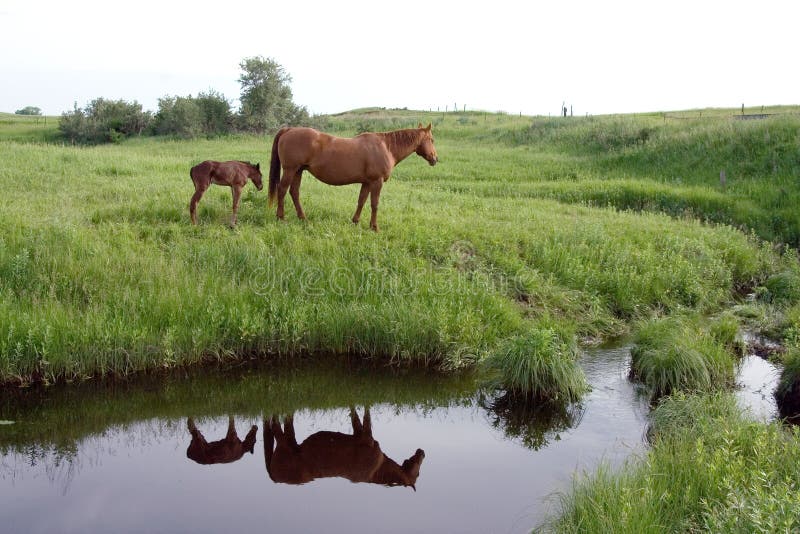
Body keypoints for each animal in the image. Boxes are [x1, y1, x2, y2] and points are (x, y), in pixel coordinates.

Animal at [264, 407, 425, 490]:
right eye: (417, 474)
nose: (422, 452)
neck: (377, 469)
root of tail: (275, 479)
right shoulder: (366, 436)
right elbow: (367, 416)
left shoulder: (359, 432)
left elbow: (355, 416)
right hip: (284, 444)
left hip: (291, 441)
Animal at [268, 123, 438, 232]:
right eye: (432, 139)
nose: (435, 159)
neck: (386, 147)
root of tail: (289, 129)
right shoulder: (377, 182)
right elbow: (374, 204)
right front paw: (374, 227)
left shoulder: (367, 182)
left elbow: (361, 201)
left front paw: (355, 221)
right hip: (290, 169)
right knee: (282, 190)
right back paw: (281, 217)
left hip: (298, 171)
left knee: (294, 192)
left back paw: (303, 218)